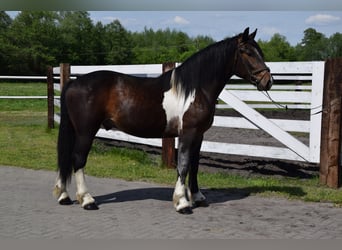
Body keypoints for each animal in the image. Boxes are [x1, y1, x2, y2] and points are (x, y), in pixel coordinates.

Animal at [53, 27, 272, 215]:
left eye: (260, 51)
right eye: (247, 52)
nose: (267, 81)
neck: (195, 89)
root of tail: (74, 82)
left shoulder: (199, 135)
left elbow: (194, 165)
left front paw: (197, 197)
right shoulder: (188, 134)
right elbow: (183, 164)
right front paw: (182, 203)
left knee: (67, 157)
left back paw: (63, 196)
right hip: (86, 131)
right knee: (78, 159)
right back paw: (87, 200)